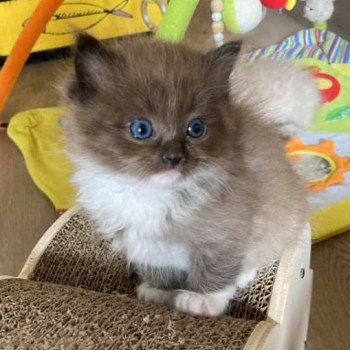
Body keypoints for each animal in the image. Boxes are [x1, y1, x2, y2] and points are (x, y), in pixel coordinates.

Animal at [63, 34, 308, 318]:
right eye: (141, 129)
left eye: (196, 128)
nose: (174, 157)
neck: (148, 193)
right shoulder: (142, 241)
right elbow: (158, 267)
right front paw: (159, 291)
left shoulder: (224, 232)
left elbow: (215, 269)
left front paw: (202, 301)